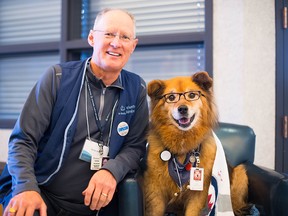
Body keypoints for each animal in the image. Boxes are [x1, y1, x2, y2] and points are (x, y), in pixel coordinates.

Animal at [144, 71, 250, 215]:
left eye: (192, 95)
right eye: (171, 97)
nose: (183, 109)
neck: (183, 145)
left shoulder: (199, 194)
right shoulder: (155, 192)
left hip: (241, 173)